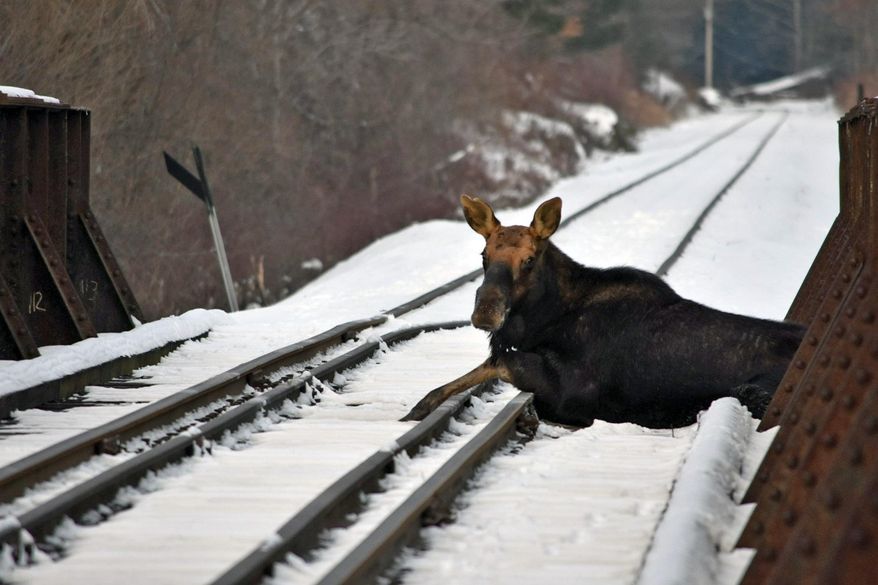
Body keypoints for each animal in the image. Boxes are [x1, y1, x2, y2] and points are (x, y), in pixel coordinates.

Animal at [401, 195, 805, 428]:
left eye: (529, 259)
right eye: (483, 256)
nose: (485, 311)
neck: (541, 322)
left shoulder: (573, 391)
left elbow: (498, 361)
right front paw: (417, 410)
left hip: (751, 390)